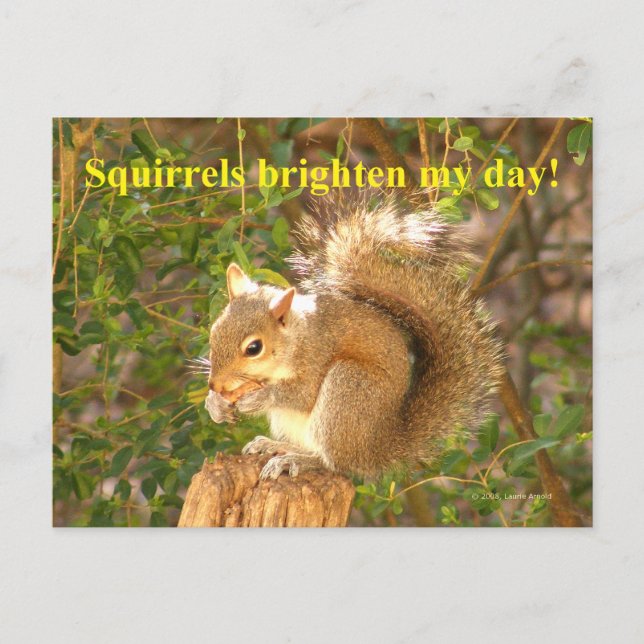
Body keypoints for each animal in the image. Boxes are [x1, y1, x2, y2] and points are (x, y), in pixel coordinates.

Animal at [204, 193, 504, 480]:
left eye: (254, 348)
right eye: (214, 332)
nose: (215, 384)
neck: (296, 338)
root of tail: (377, 450)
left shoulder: (316, 356)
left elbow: (301, 395)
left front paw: (259, 398)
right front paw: (215, 404)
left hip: (347, 389)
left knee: (335, 464)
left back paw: (296, 460)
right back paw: (275, 446)